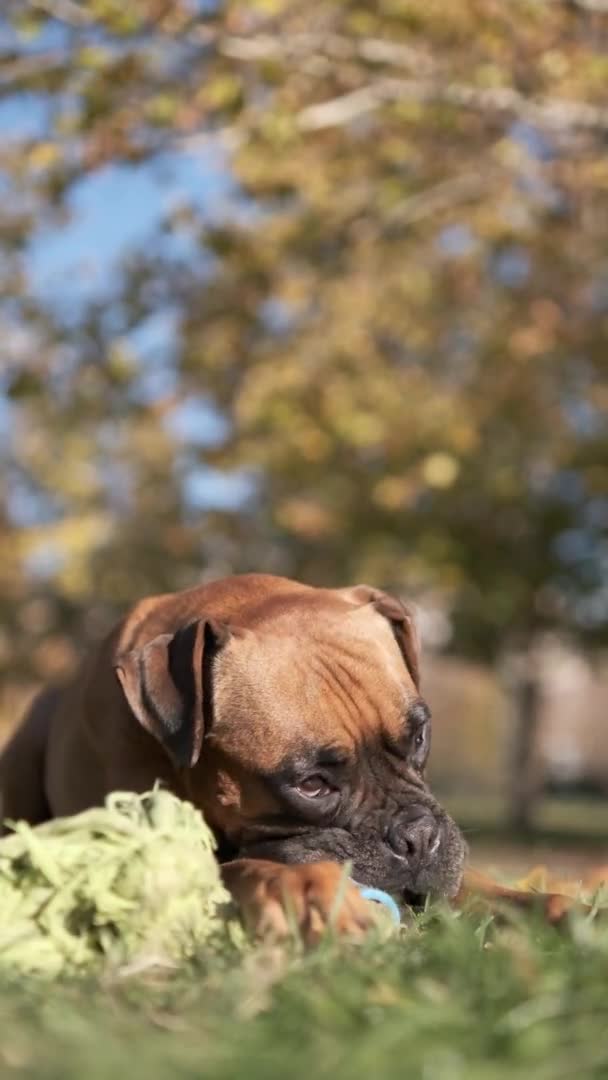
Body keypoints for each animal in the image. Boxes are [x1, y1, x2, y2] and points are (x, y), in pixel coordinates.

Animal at [0, 574, 587, 937]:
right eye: (311, 785)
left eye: (419, 737)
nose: (418, 837)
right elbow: (240, 869)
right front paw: (307, 890)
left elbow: (485, 887)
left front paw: (557, 910)